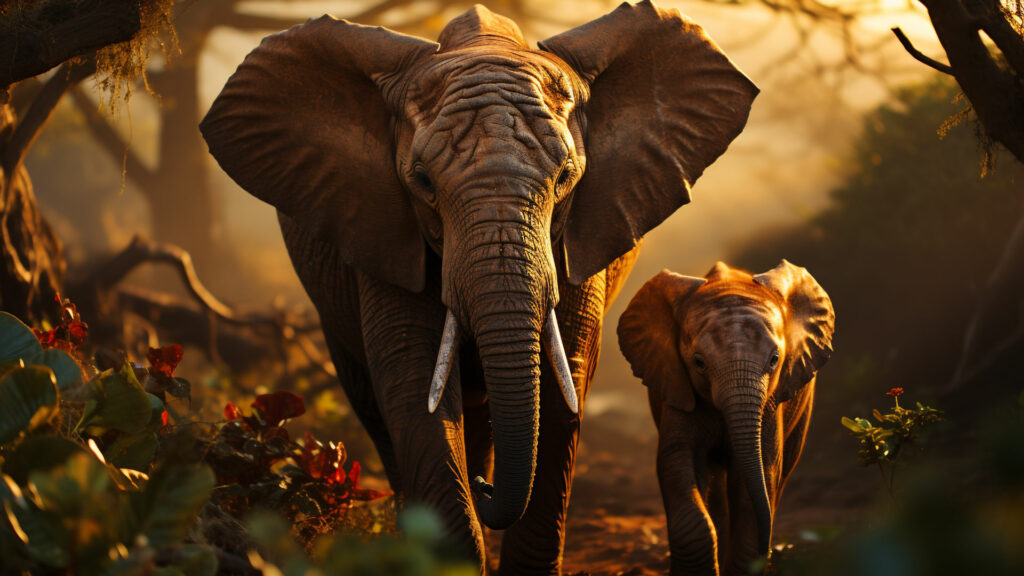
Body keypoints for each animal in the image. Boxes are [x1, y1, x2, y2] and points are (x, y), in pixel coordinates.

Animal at [203, 3, 757, 569]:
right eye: (422, 182)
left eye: (566, 178)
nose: (486, 488)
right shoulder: (384, 229)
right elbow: (412, 379)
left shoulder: (581, 237)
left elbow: (566, 380)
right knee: (374, 407)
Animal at [614, 261, 831, 573]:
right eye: (698, 363)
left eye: (774, 360)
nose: (773, 549)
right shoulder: (677, 386)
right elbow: (675, 460)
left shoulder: (771, 404)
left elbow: (762, 470)